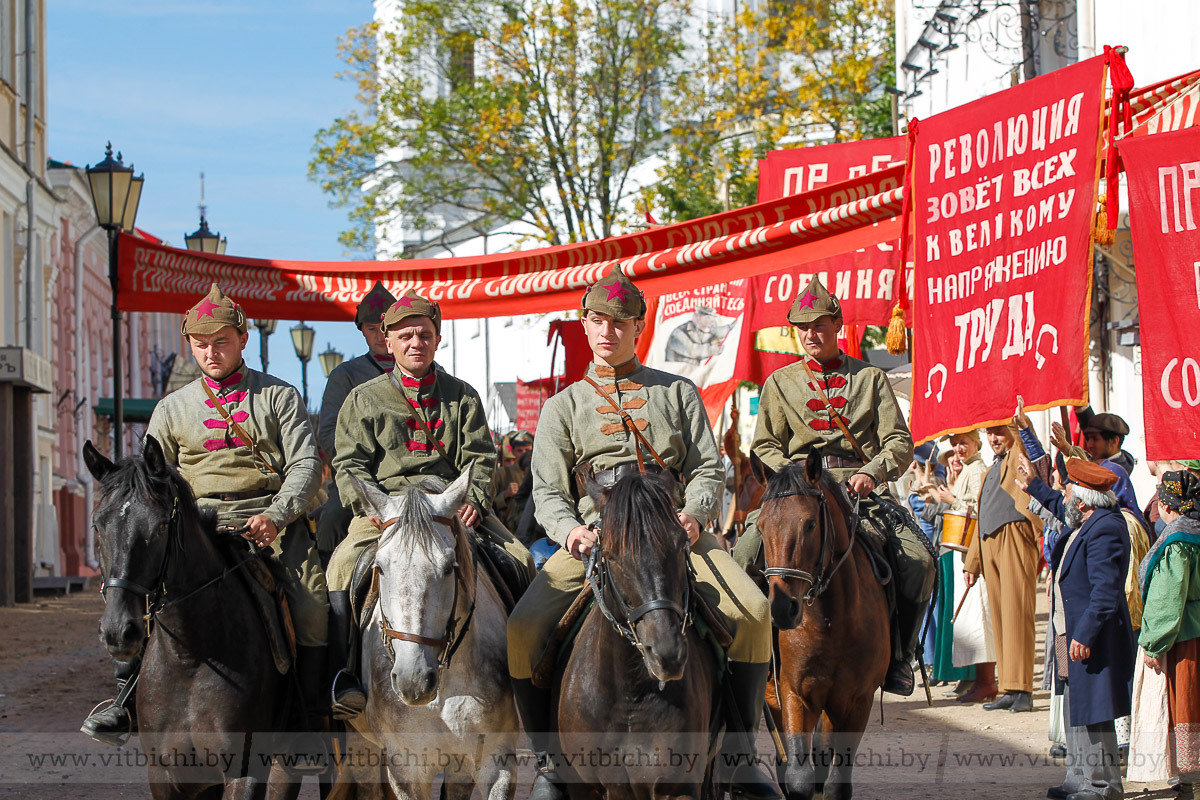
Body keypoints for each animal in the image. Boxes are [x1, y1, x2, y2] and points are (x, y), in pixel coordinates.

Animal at [85, 438, 300, 800]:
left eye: (160, 527)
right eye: (98, 526)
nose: (118, 631)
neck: (191, 656)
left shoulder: (245, 772)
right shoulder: (167, 776)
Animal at [554, 470, 715, 800]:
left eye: (682, 543)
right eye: (612, 555)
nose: (667, 654)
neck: (630, 695)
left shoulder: (678, 786)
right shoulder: (586, 786)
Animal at [758, 453, 892, 800]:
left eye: (810, 523)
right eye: (761, 526)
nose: (782, 609)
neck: (831, 624)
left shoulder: (857, 701)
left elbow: (835, 784)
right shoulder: (794, 694)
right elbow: (798, 779)